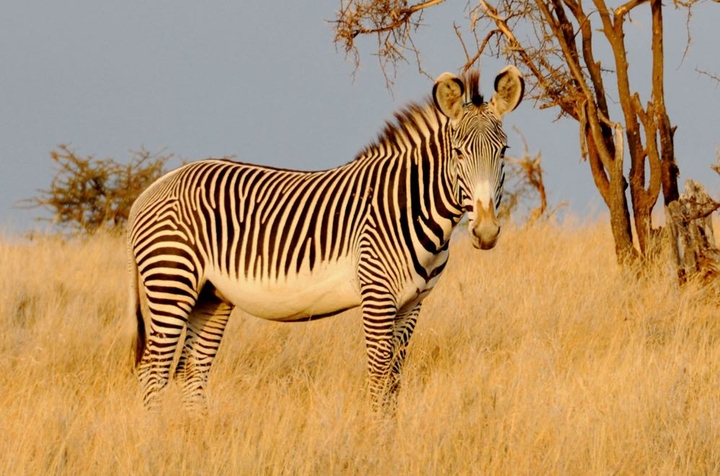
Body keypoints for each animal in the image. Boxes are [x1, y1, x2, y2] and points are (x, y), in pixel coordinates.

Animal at [128, 66, 524, 414]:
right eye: (458, 153)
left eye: (503, 151)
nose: (485, 232)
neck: (408, 205)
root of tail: (156, 185)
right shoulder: (377, 296)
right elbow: (379, 379)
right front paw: (375, 442)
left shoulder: (413, 304)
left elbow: (395, 382)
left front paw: (390, 439)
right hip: (171, 282)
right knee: (153, 373)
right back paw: (157, 440)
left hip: (211, 296)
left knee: (191, 372)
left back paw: (193, 435)